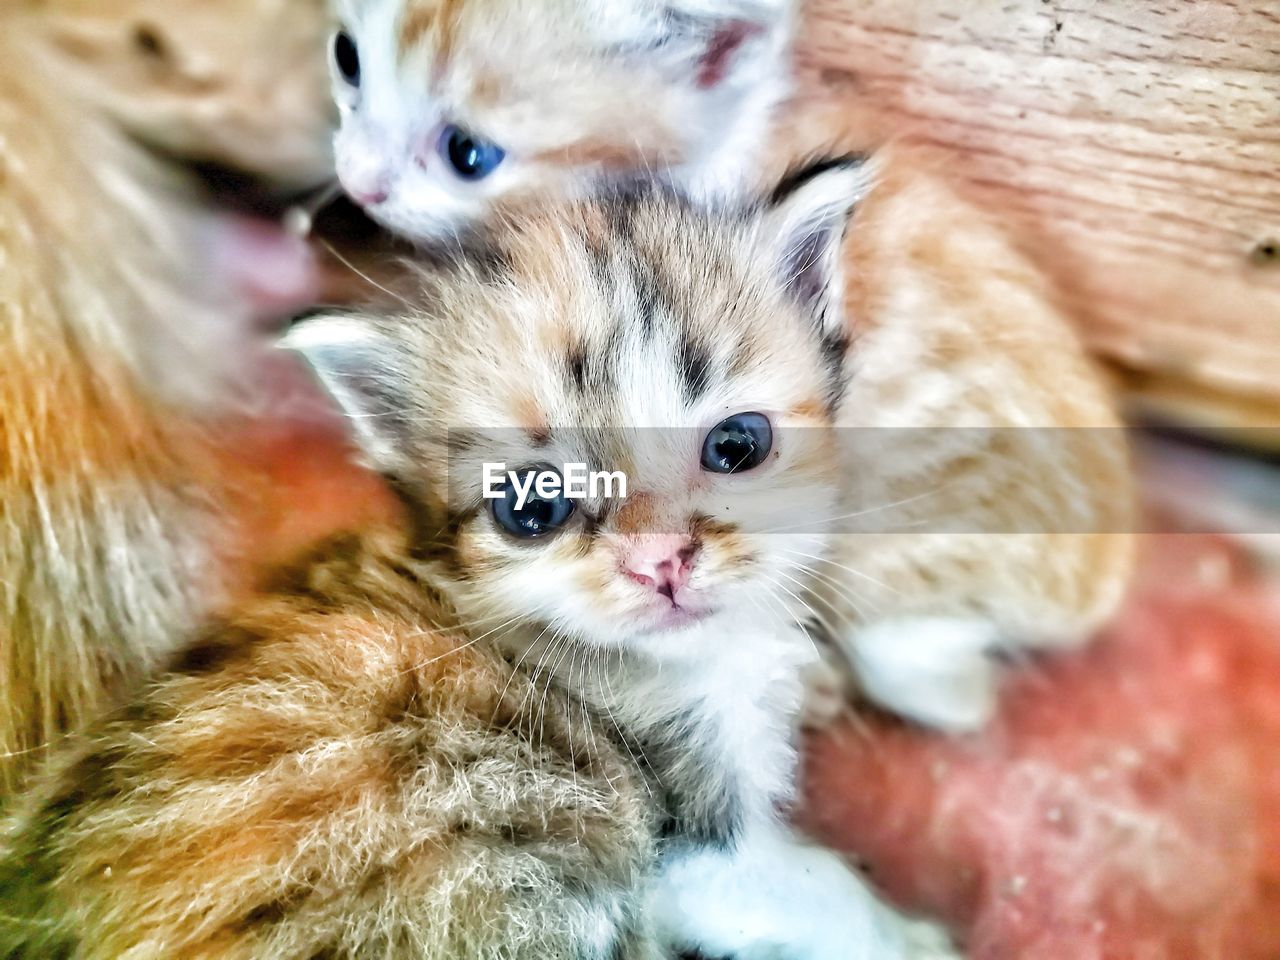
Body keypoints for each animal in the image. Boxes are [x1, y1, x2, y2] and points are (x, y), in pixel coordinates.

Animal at [0, 161, 952, 957]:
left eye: (737, 443)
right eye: (531, 507)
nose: (661, 563)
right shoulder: (689, 847)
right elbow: (810, 880)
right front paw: (912, 935)